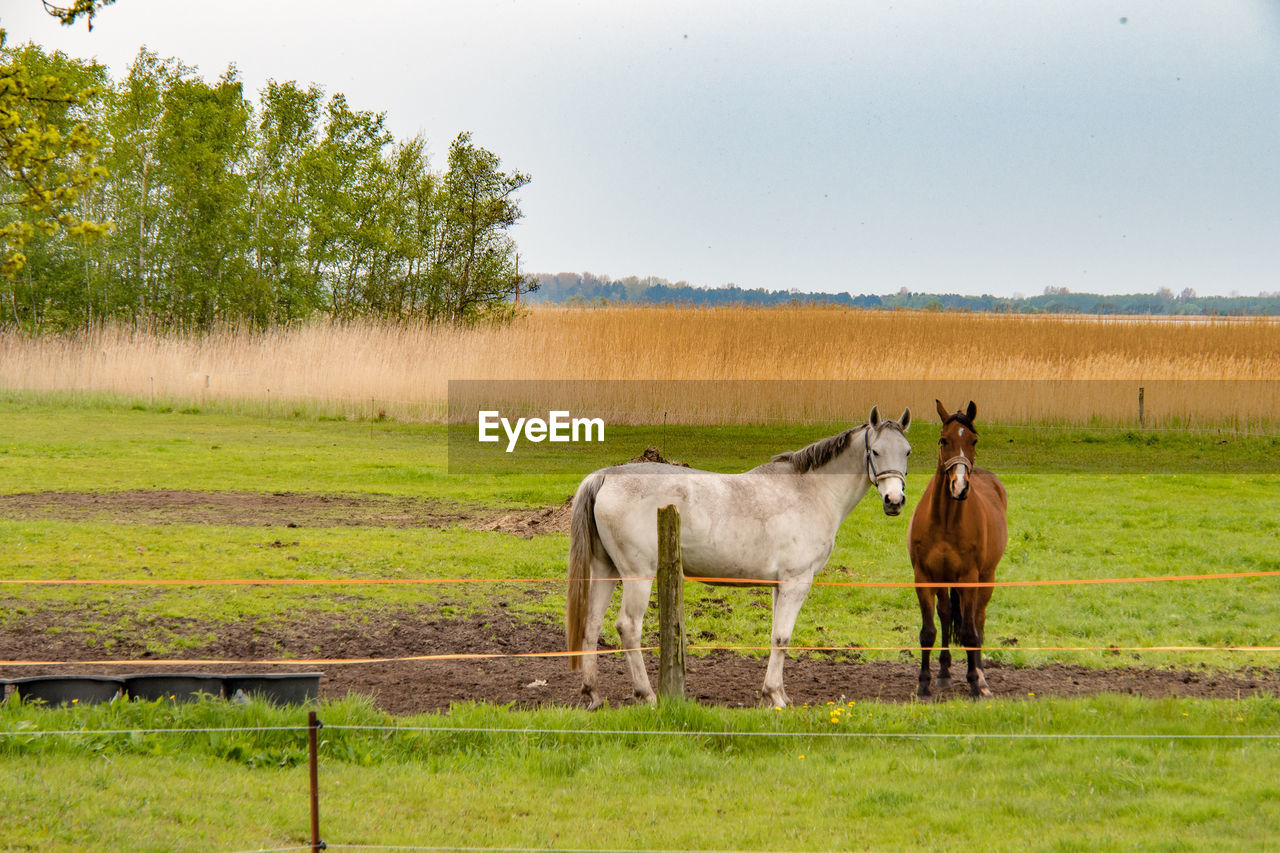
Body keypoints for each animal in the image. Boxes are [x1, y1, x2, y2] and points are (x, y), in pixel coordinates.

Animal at [568, 404, 911, 701]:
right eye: (876, 451)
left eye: (907, 451)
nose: (894, 500)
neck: (808, 491)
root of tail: (606, 476)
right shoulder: (796, 582)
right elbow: (782, 638)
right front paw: (776, 697)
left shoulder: (779, 585)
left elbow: (775, 637)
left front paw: (775, 692)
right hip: (638, 575)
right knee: (628, 627)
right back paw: (647, 694)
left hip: (606, 570)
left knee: (592, 624)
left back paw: (593, 694)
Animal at [911, 399, 1008, 696]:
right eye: (944, 439)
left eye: (974, 440)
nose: (959, 486)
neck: (944, 521)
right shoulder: (924, 578)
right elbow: (929, 631)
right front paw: (924, 685)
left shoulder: (968, 577)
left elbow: (968, 632)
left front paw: (975, 683)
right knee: (945, 614)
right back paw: (943, 673)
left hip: (986, 579)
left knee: (977, 620)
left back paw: (981, 676)